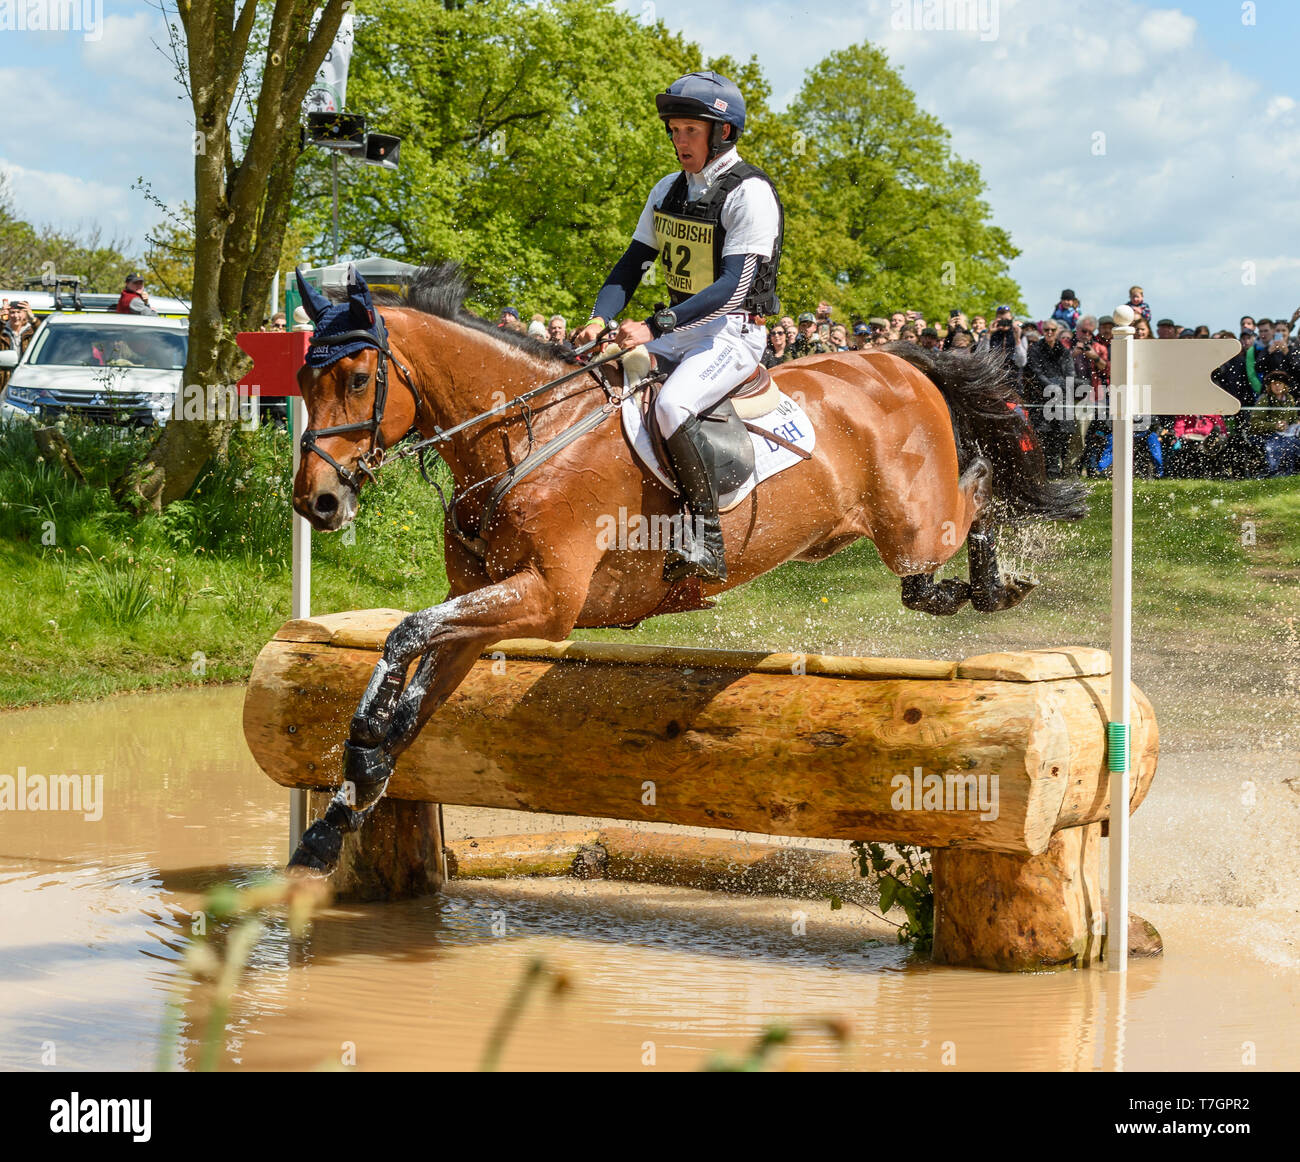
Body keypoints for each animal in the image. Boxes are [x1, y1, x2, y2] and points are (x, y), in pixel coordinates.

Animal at [287, 267, 1086, 873]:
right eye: (303, 377)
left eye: (356, 378)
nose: (316, 502)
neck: (525, 441)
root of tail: (892, 356)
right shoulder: (481, 606)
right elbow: (412, 690)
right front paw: (341, 806)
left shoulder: (546, 601)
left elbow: (405, 633)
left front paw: (360, 751)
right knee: (945, 542)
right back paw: (969, 588)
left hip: (915, 522)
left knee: (981, 487)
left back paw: (994, 584)